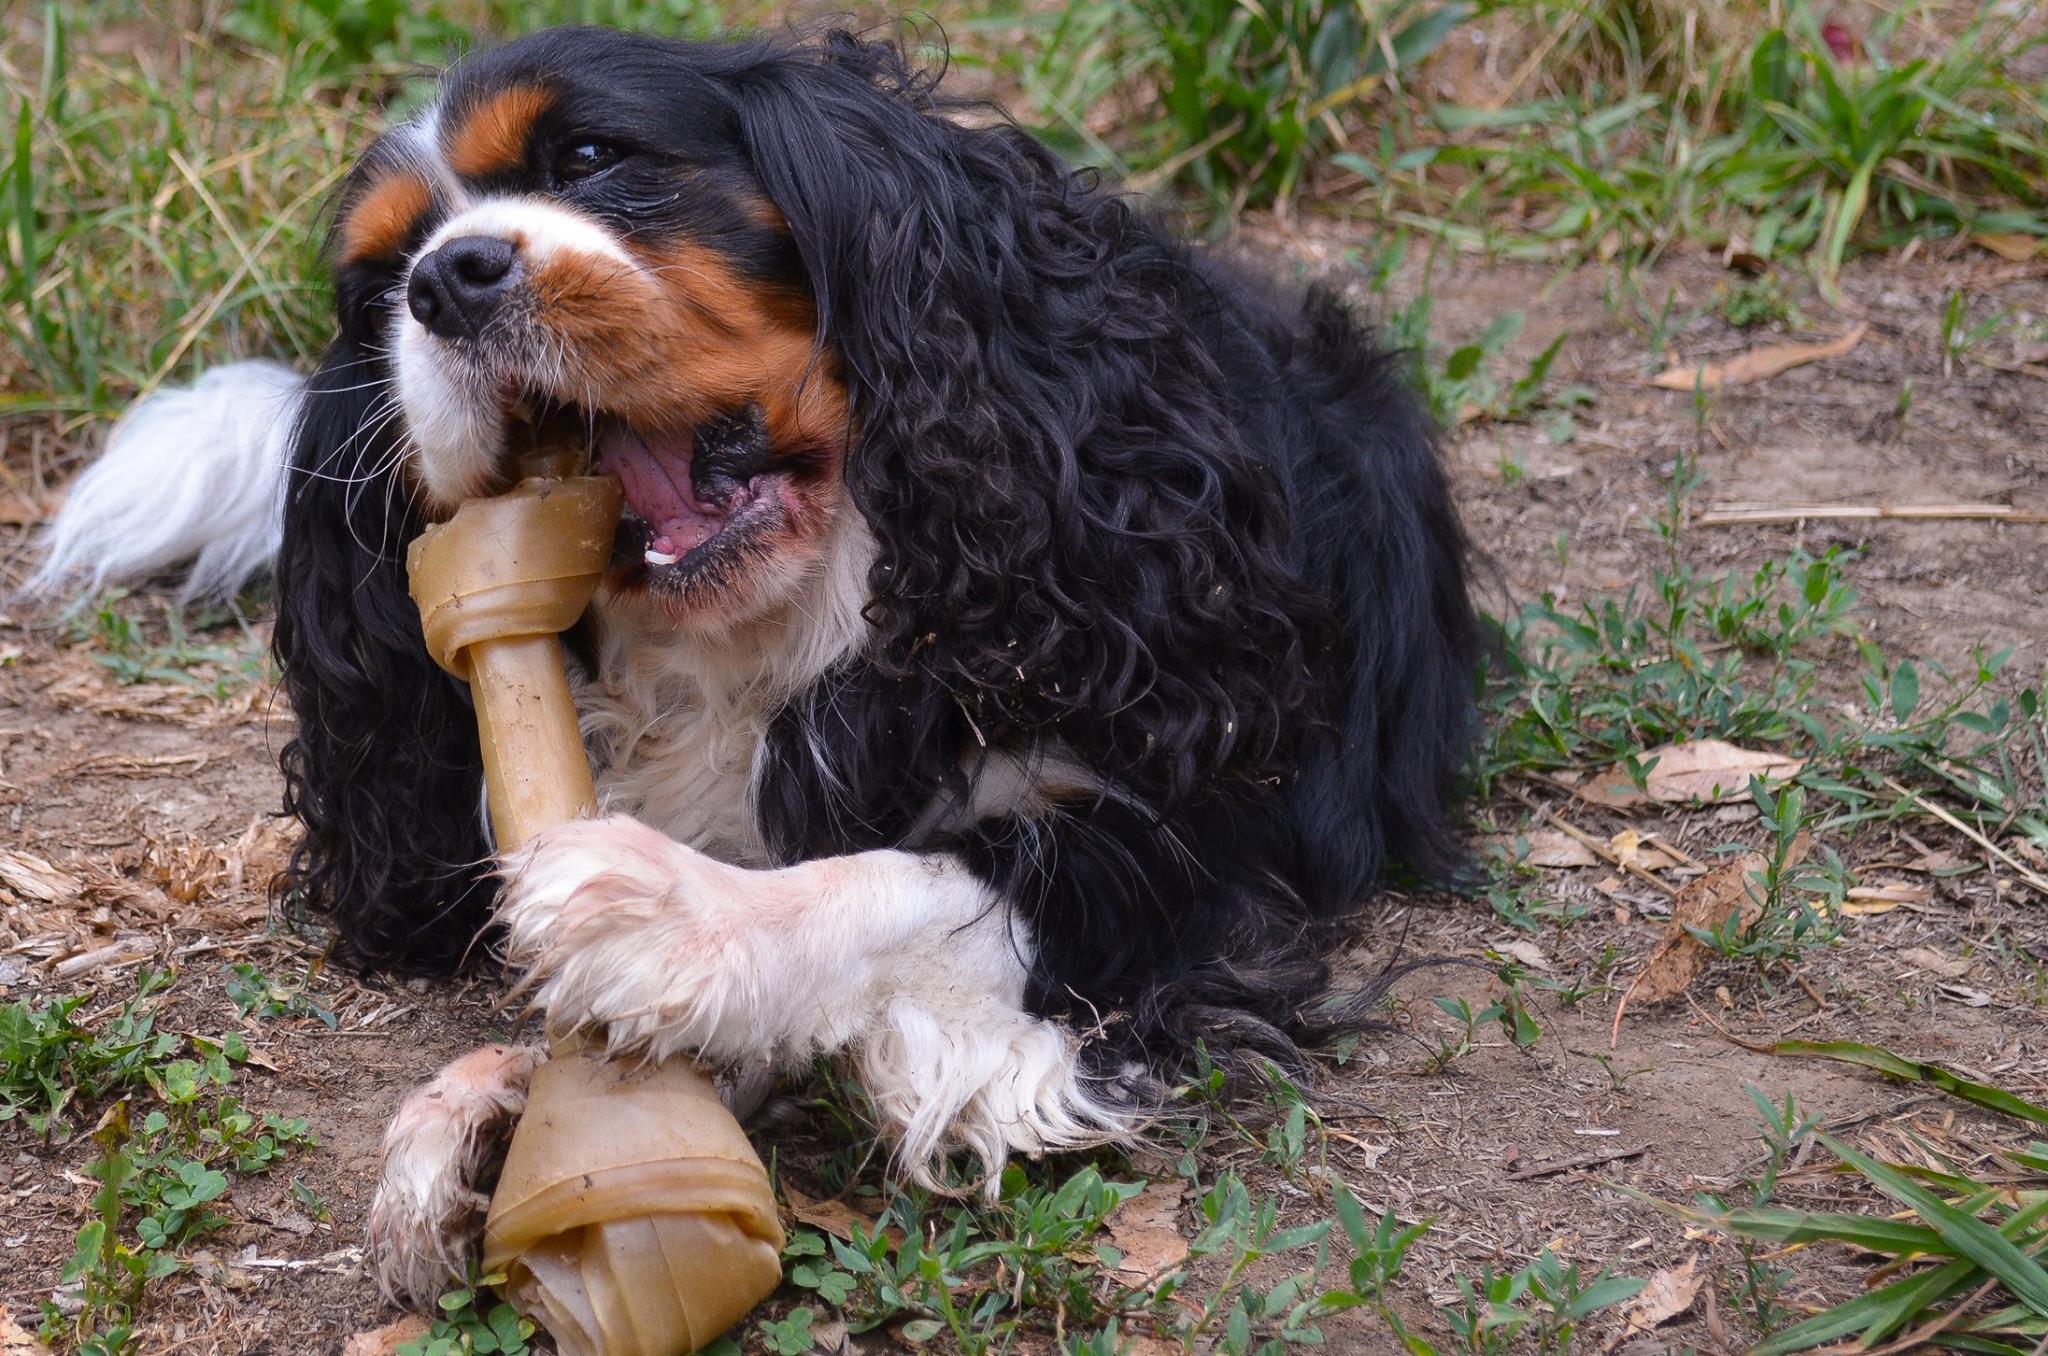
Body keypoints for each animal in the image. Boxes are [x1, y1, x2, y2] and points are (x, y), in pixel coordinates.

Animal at [28, 26, 1474, 1310]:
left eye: (596, 156)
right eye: (379, 282)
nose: (446, 279)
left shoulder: (1196, 847)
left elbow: (920, 875)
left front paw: (667, 914)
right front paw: (503, 1107)